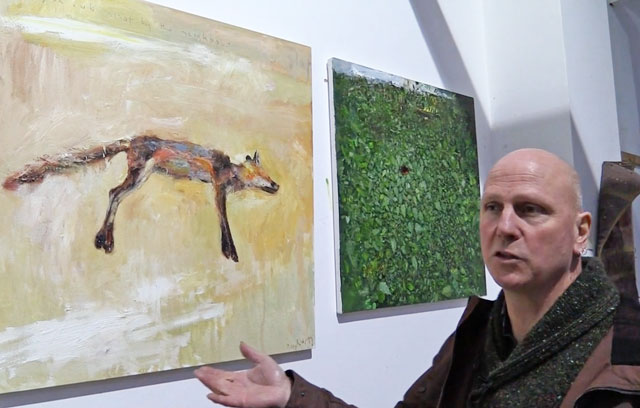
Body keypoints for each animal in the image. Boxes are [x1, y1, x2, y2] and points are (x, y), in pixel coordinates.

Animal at [2, 134, 278, 262]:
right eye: (263, 175)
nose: (276, 185)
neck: (230, 170)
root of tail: (133, 139)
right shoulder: (218, 190)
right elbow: (225, 223)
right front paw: (230, 252)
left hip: (140, 178)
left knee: (114, 194)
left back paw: (104, 240)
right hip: (140, 176)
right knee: (114, 193)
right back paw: (105, 239)